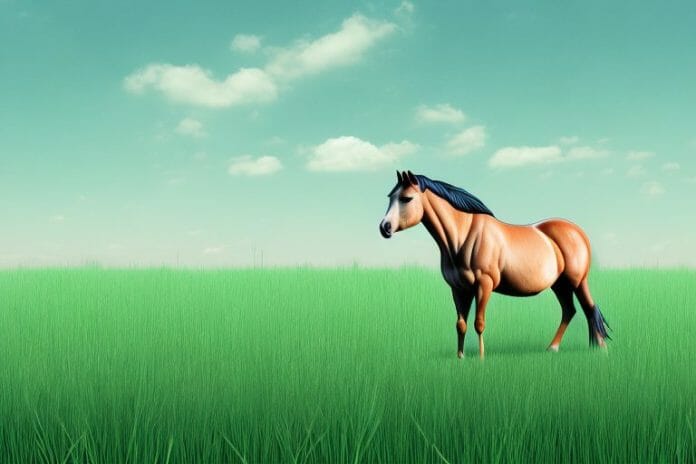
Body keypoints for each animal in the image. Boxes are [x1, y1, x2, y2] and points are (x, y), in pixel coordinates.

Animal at [379, 170, 611, 358]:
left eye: (406, 198)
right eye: (391, 197)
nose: (384, 227)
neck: (463, 237)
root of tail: (577, 231)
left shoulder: (484, 284)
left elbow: (479, 323)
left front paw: (481, 359)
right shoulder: (458, 289)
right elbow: (461, 324)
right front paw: (460, 358)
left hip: (577, 281)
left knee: (590, 308)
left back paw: (601, 349)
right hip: (559, 284)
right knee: (569, 311)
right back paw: (553, 348)